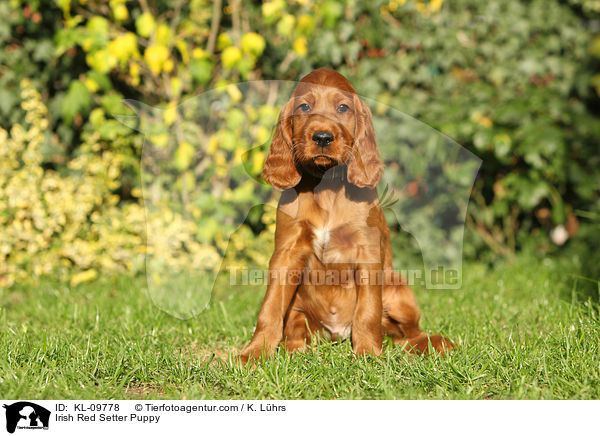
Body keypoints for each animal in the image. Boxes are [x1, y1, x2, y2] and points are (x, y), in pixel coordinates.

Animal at [239, 68, 450, 362]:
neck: (327, 186)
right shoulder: (286, 253)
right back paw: (294, 348)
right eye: (305, 106)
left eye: (342, 108)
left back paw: (432, 343)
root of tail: (336, 333)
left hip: (399, 291)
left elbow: (368, 311)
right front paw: (254, 353)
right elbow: (270, 308)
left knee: (407, 335)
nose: (323, 137)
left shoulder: (367, 252)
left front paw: (368, 353)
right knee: (296, 328)